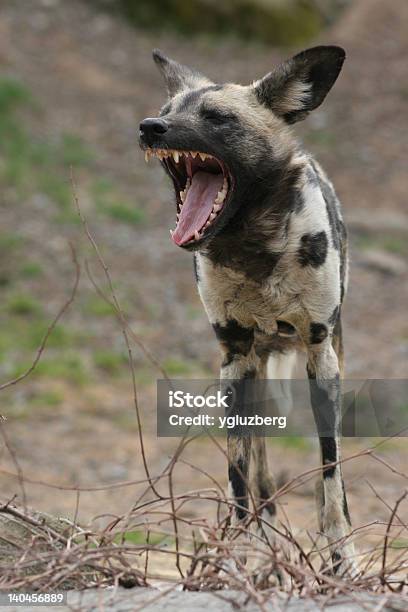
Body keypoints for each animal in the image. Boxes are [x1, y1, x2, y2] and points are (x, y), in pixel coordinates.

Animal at [139, 46, 354, 580]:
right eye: (167, 109)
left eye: (217, 118)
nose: (150, 127)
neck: (254, 247)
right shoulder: (234, 361)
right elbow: (239, 481)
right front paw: (241, 557)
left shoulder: (321, 358)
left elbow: (330, 475)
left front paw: (342, 558)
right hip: (257, 378)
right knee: (260, 476)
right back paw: (267, 550)